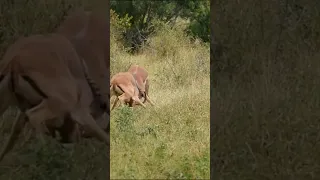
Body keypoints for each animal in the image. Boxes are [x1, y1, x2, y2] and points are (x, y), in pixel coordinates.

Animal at [0, 33, 109, 162]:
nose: (68, 140)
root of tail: (15, 60)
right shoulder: (80, 112)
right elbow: (102, 134)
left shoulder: (22, 111)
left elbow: (14, 132)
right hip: (59, 104)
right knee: (35, 116)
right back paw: (47, 154)